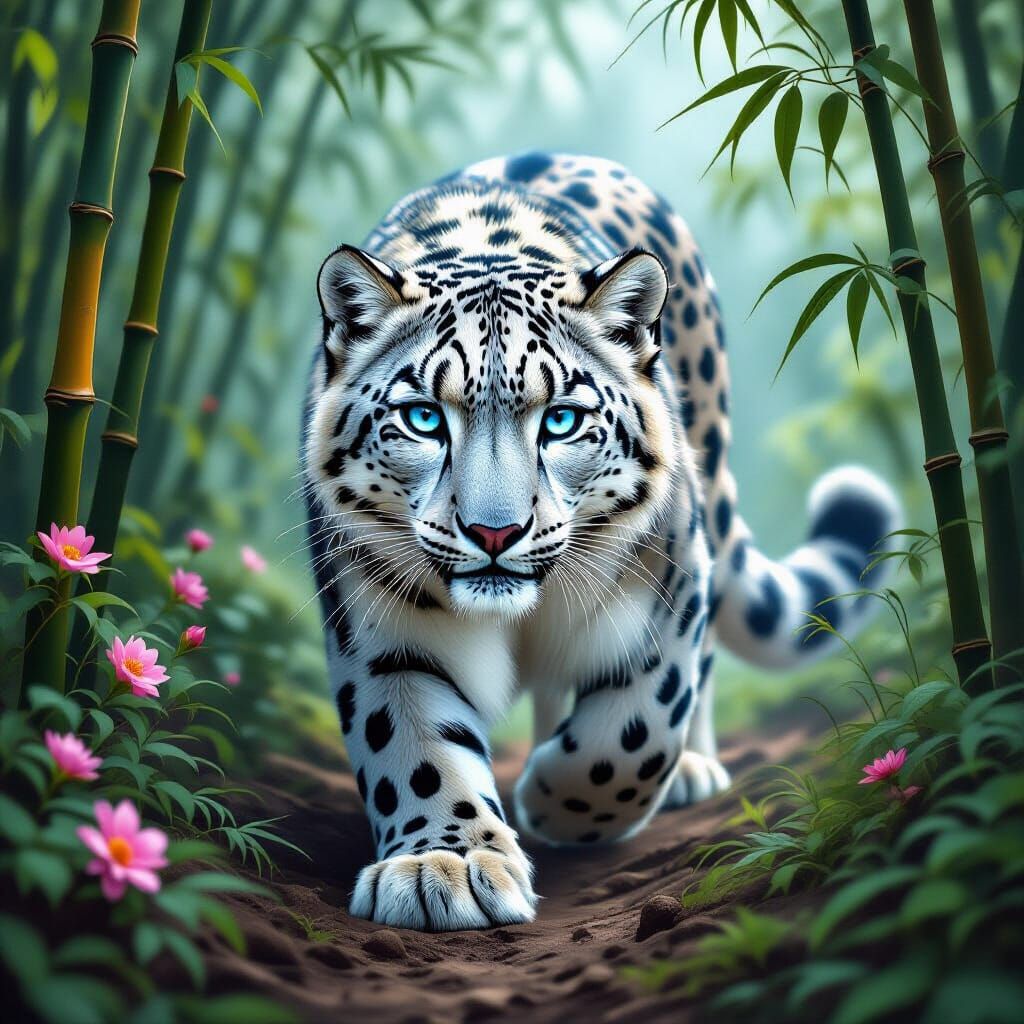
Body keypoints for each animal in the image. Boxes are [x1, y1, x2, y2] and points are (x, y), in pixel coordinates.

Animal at [300, 152, 900, 931]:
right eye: (424, 417)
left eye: (561, 419)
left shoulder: (670, 592)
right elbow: (414, 747)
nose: (494, 530)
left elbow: (634, 732)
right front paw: (444, 868)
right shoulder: (383, 630)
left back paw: (690, 770)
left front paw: (559, 804)